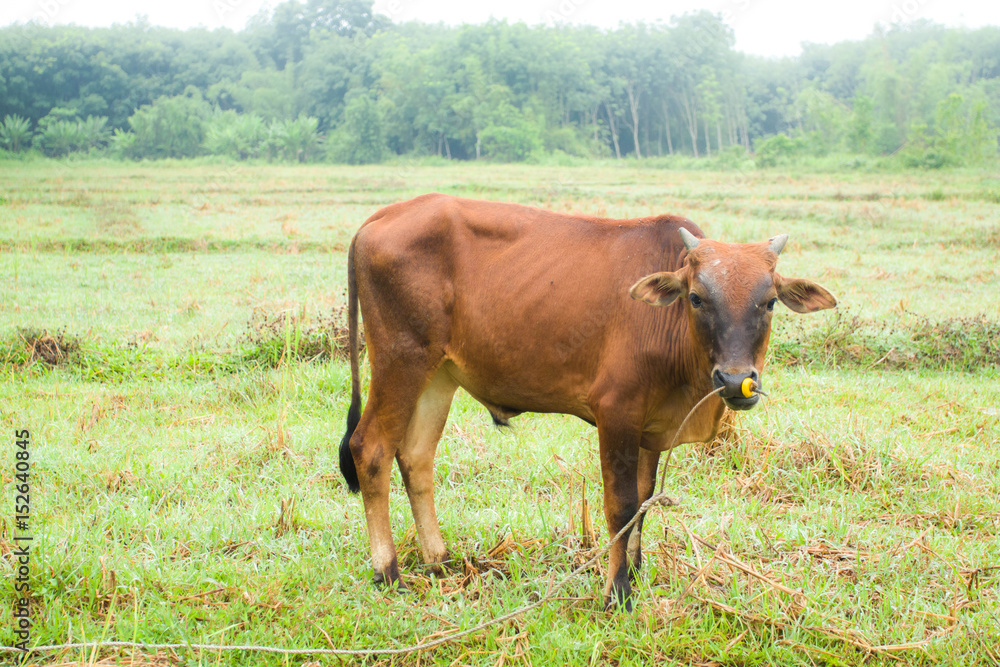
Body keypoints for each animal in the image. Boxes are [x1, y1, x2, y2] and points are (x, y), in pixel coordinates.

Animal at [338, 194, 836, 612]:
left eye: (768, 302)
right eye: (697, 297)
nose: (735, 380)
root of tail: (379, 218)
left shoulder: (649, 427)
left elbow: (644, 500)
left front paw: (634, 571)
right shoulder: (616, 411)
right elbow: (621, 504)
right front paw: (618, 592)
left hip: (438, 375)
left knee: (416, 457)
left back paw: (440, 560)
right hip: (401, 361)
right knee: (372, 449)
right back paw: (388, 572)